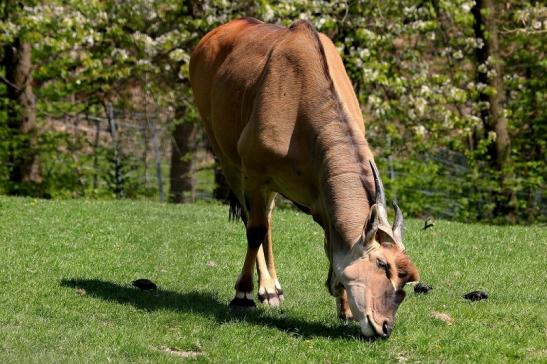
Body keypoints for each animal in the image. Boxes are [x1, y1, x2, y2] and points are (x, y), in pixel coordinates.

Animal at [191, 17, 422, 338]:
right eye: (381, 264)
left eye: (405, 279)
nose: (384, 326)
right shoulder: (255, 174)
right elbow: (255, 231)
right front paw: (242, 295)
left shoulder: (321, 196)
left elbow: (330, 243)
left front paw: (344, 308)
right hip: (228, 162)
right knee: (254, 222)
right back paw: (259, 290)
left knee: (267, 219)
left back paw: (272, 289)